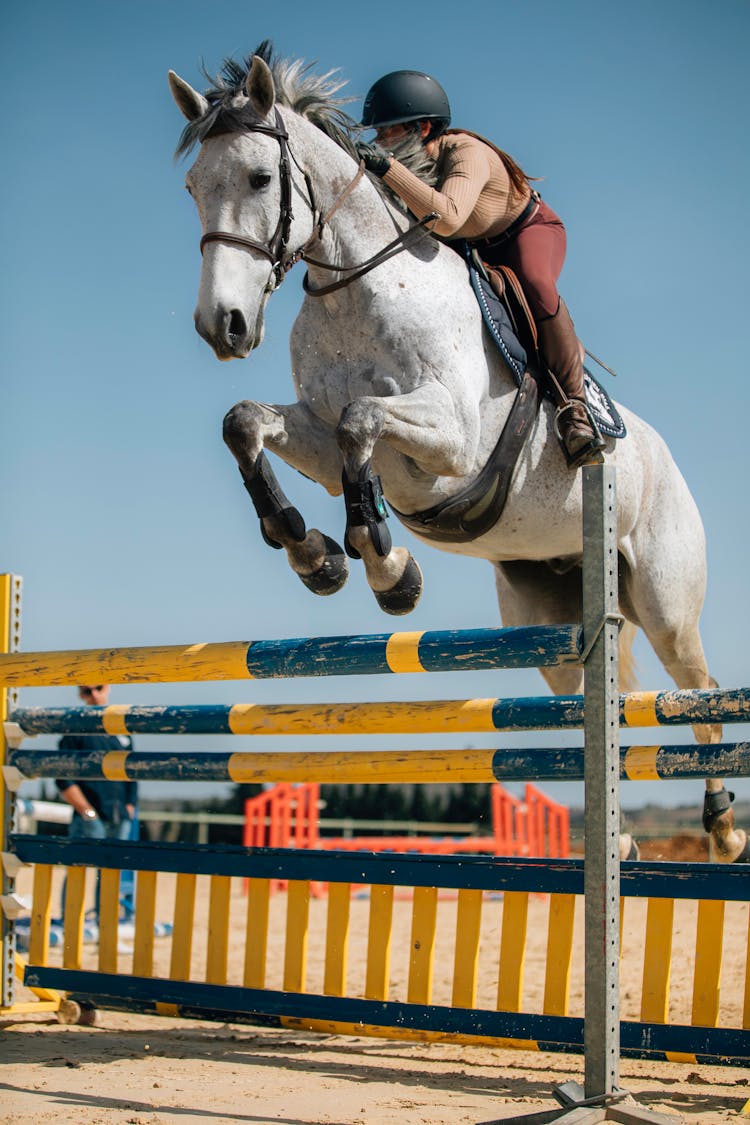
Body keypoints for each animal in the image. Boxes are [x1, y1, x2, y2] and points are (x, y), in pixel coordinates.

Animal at [167, 39, 746, 855]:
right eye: (193, 186)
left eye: (258, 177)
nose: (224, 326)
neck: (357, 289)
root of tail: (665, 456)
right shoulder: (317, 438)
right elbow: (247, 422)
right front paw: (314, 553)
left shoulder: (452, 444)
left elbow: (360, 421)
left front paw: (387, 568)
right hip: (548, 618)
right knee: (599, 698)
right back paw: (623, 842)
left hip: (666, 599)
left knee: (698, 693)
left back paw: (723, 830)